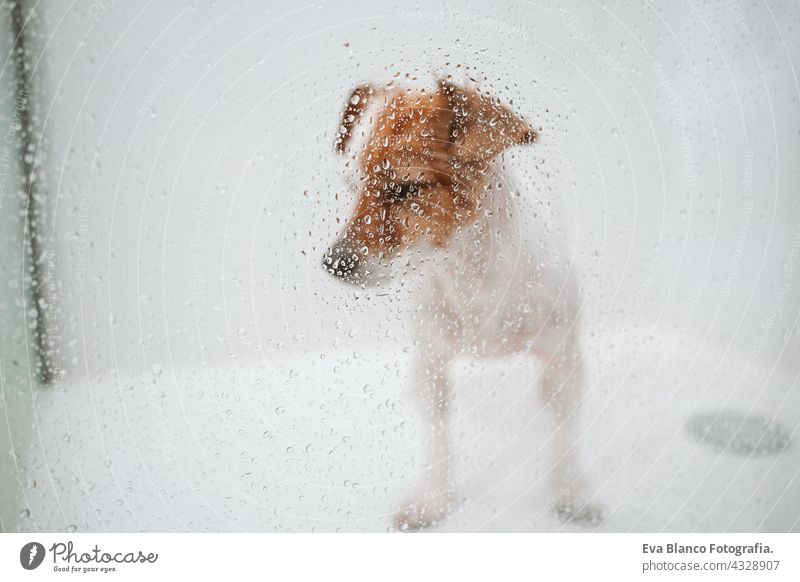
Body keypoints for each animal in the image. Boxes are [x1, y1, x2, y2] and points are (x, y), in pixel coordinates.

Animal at [320, 80, 600, 532]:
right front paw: (433, 501)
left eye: (406, 188)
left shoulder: (564, 361)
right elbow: (438, 440)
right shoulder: (432, 363)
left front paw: (573, 493)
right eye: (349, 186)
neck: (472, 276)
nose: (334, 263)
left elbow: (565, 438)